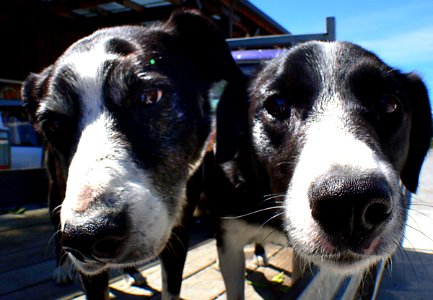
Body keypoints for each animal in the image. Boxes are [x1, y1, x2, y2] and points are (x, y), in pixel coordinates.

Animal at [22, 9, 241, 300]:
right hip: (55, 191)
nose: (87, 235)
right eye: (53, 125)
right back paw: (62, 268)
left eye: (149, 96)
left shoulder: (179, 229)